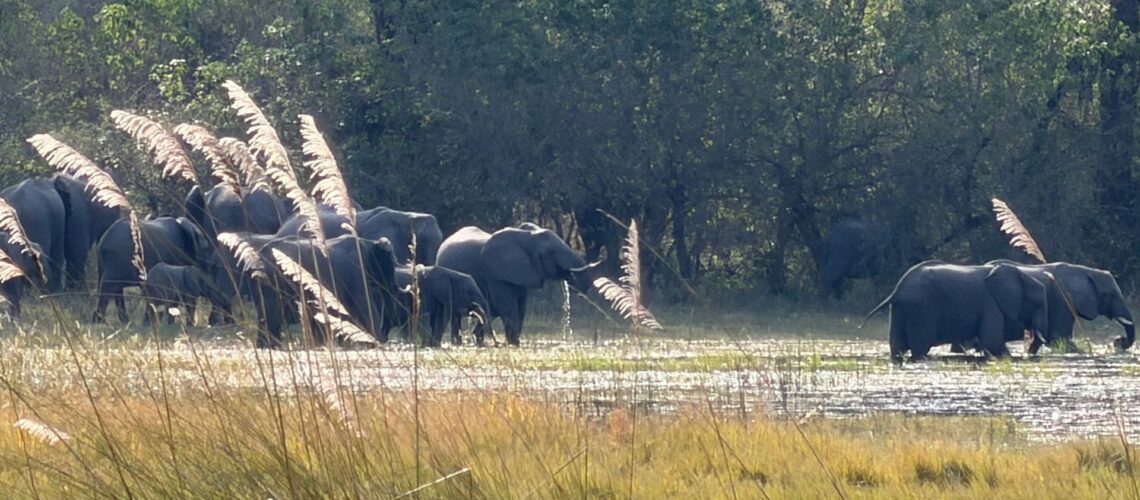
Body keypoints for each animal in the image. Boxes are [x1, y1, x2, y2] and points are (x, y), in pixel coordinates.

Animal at [251, 235, 399, 348]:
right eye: (391, 264)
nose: (386, 337)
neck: (369, 242)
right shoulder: (356, 273)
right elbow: (364, 307)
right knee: (272, 311)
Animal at [436, 225, 600, 346]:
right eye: (551, 252)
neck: (527, 236)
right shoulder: (496, 273)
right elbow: (507, 306)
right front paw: (514, 344)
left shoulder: (521, 273)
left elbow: (520, 307)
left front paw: (513, 342)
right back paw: (458, 343)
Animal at [864, 261, 1049, 362]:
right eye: (1039, 304)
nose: (1027, 354)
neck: (1019, 274)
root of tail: (897, 291)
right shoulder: (990, 304)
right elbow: (993, 342)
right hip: (921, 311)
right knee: (920, 348)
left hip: (900, 311)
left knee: (897, 348)